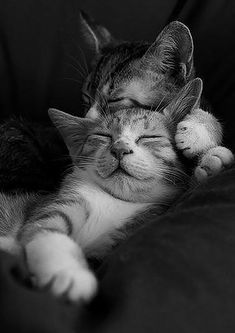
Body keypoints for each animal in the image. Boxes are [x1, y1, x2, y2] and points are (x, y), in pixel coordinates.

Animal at [0, 77, 202, 300]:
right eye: (103, 136)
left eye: (149, 137)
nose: (119, 149)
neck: (116, 200)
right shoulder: (55, 205)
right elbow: (45, 232)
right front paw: (67, 272)